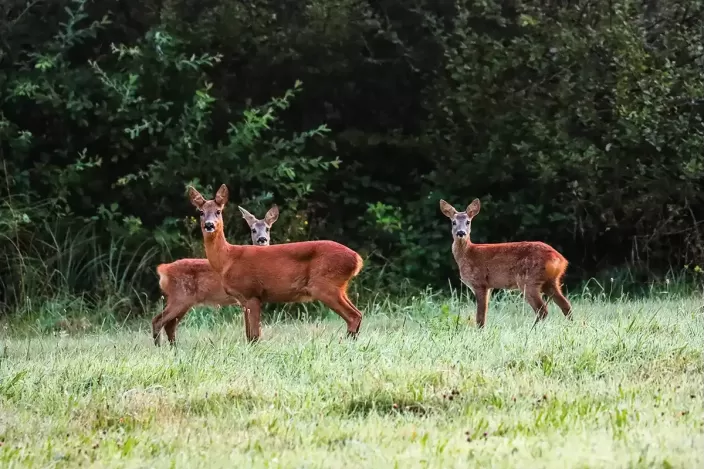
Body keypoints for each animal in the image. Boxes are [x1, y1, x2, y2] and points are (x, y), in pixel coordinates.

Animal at [151, 204, 280, 344]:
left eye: (267, 229)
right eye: (253, 230)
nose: (262, 239)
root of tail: (164, 269)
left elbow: (248, 331)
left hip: (183, 301)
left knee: (170, 325)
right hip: (179, 296)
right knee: (158, 321)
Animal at [187, 185, 364, 342]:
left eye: (218, 211)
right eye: (201, 212)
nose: (209, 225)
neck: (227, 259)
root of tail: (357, 259)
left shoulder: (252, 293)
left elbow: (255, 336)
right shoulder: (243, 300)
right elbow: (248, 336)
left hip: (324, 285)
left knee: (353, 316)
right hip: (338, 287)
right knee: (358, 314)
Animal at [440, 197, 572, 326]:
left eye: (468, 222)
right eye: (453, 222)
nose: (461, 233)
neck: (467, 253)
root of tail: (560, 260)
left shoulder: (479, 282)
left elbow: (480, 317)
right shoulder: (489, 286)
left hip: (529, 280)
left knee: (542, 310)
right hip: (551, 281)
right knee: (566, 305)